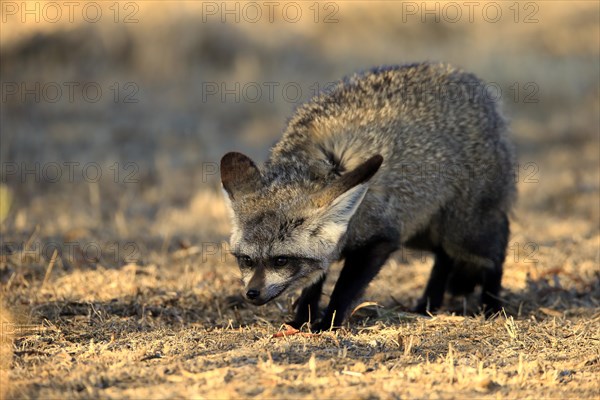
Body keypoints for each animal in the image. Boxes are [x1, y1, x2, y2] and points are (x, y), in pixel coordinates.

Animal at [220, 62, 516, 332]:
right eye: (246, 260)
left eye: (280, 260)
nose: (252, 293)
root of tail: (464, 76)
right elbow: (314, 283)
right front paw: (301, 320)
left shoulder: (381, 239)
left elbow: (343, 290)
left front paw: (327, 325)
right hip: (425, 231)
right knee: (445, 258)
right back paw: (427, 307)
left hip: (463, 231)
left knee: (497, 243)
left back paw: (491, 306)